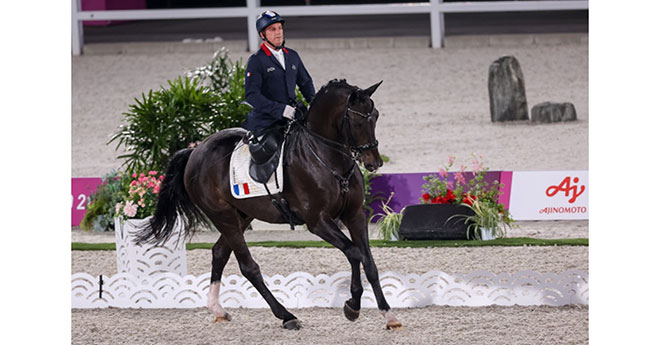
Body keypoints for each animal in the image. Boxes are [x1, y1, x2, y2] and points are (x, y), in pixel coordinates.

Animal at [136, 78, 400, 328]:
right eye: (357, 122)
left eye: (376, 116)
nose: (374, 162)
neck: (327, 158)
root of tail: (194, 152)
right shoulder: (318, 221)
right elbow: (354, 253)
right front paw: (352, 306)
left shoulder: (354, 215)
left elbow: (369, 262)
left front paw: (388, 315)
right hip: (223, 215)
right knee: (248, 266)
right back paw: (286, 316)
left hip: (241, 216)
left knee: (220, 252)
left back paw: (217, 309)